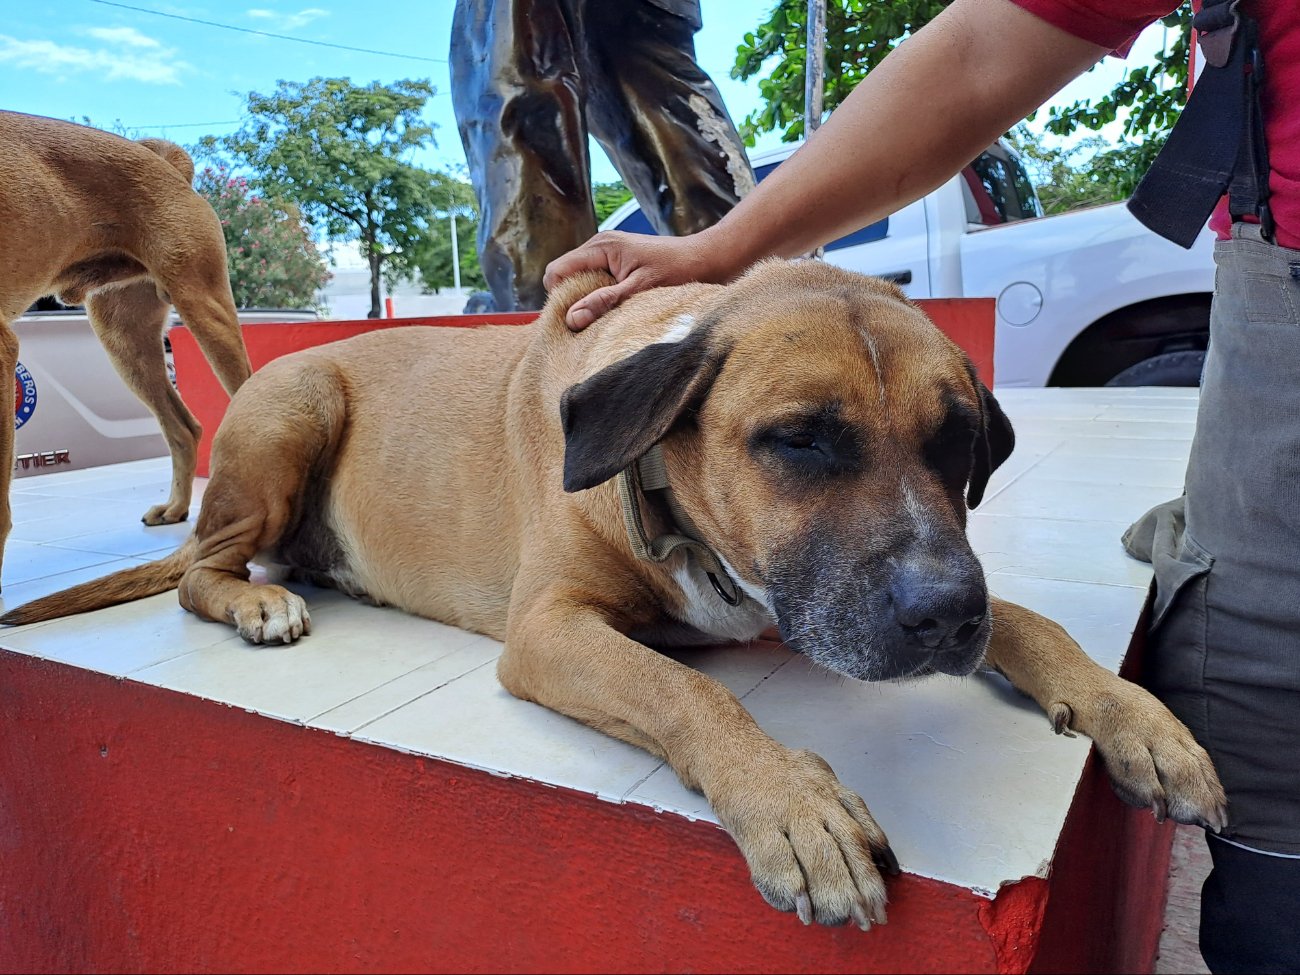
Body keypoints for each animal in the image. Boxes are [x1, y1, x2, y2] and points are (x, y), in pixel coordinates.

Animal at [0, 261, 1222, 930]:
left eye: (958, 441)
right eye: (798, 440)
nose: (943, 619)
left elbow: (1034, 618)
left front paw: (1136, 718)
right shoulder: (550, 633)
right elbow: (691, 694)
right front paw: (791, 800)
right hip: (293, 410)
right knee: (200, 572)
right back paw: (256, 601)